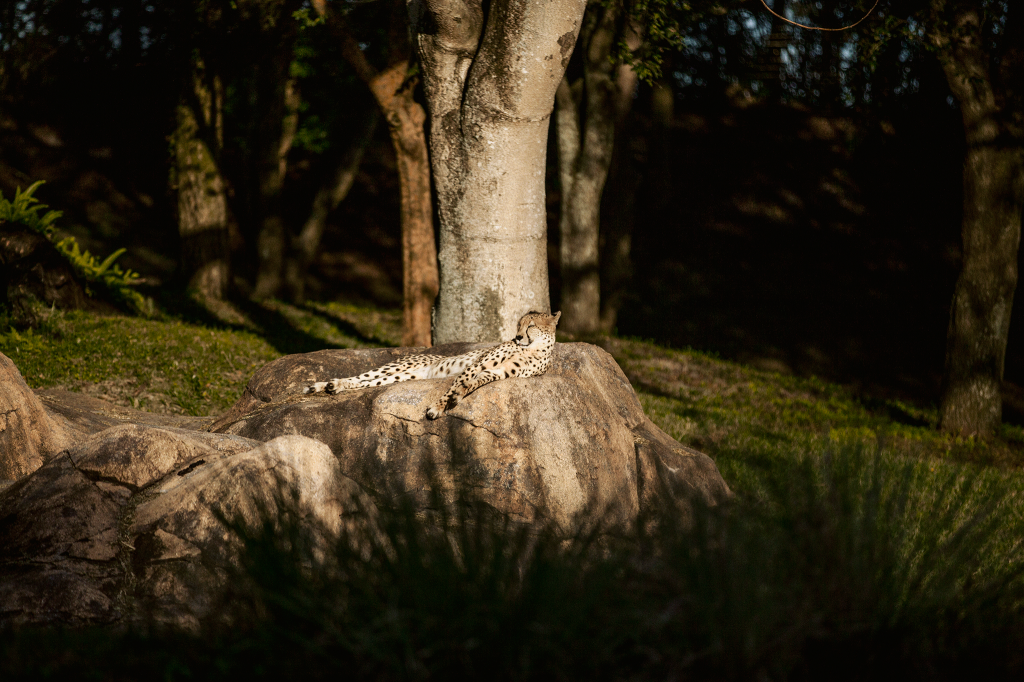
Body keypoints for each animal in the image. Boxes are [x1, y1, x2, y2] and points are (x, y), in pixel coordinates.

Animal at [304, 310, 561, 420]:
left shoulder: (498, 371)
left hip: (400, 377)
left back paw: (333, 388)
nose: (517, 337)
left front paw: (456, 398)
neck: (535, 347)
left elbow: (473, 384)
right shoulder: (479, 364)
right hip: (394, 368)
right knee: (359, 377)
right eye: (519, 325)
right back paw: (325, 385)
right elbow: (459, 383)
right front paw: (439, 407)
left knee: (367, 382)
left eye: (530, 326)